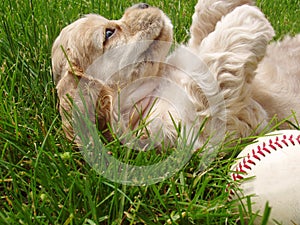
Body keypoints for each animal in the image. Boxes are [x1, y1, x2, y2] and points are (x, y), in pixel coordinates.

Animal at [52, 1, 300, 150]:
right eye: (109, 33)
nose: (143, 4)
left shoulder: (191, 50)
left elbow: (202, 28)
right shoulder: (200, 130)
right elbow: (205, 78)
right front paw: (246, 17)